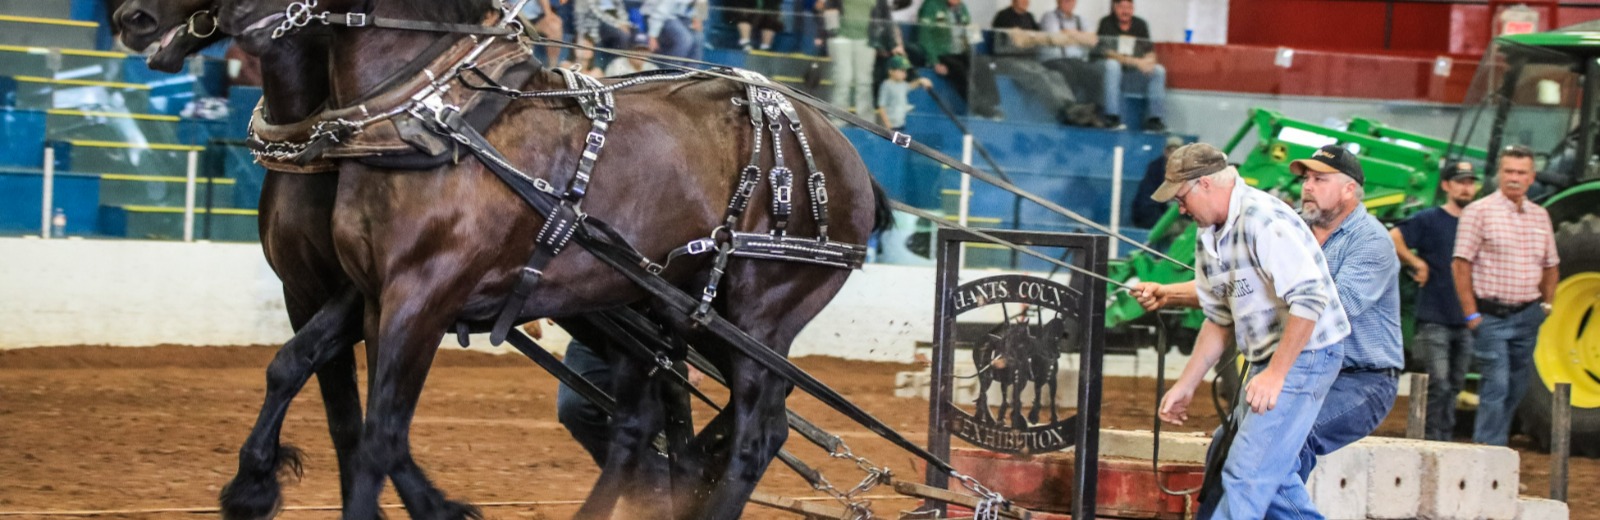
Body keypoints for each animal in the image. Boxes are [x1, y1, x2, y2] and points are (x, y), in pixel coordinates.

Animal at [212, 0, 891, 518]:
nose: (226, 22)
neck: (433, 119)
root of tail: (844, 155)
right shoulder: (351, 291)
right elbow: (315, 385)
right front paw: (255, 483)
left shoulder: (416, 292)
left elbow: (374, 428)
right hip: (681, 316)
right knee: (659, 424)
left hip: (759, 317)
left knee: (756, 434)